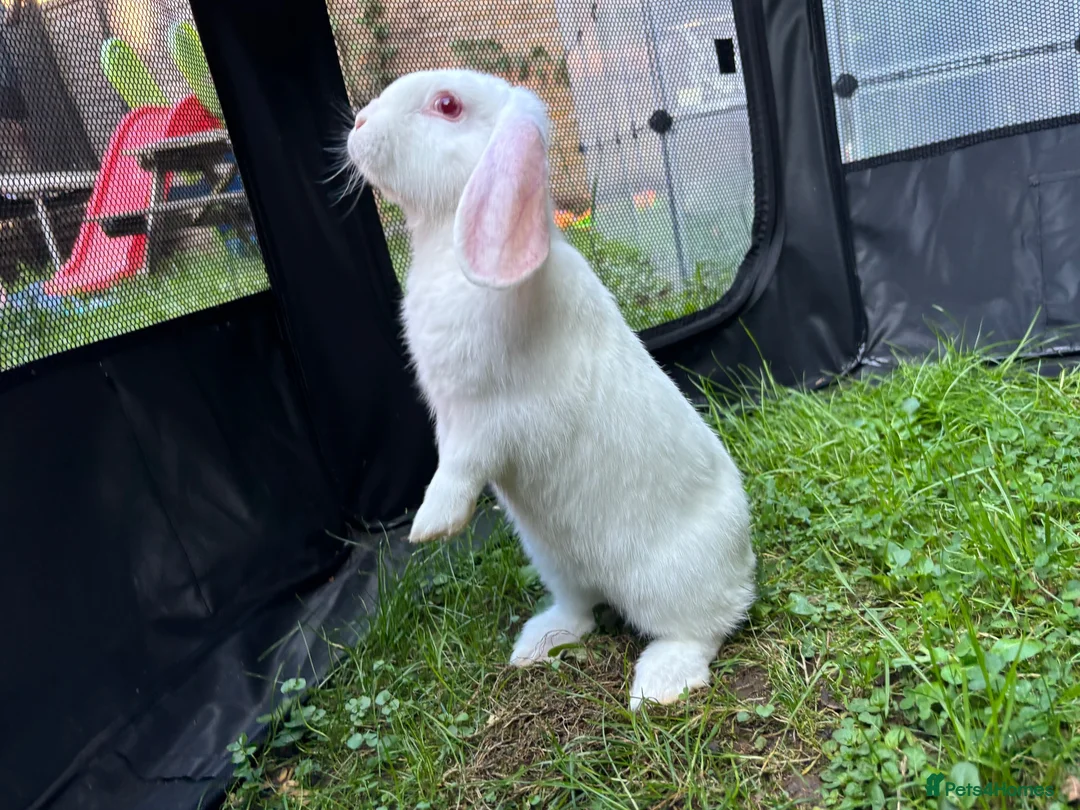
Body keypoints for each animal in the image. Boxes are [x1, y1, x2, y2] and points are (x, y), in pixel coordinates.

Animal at [344, 68, 757, 711]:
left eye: (447, 105)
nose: (359, 124)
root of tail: (744, 566)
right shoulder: (456, 418)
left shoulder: (490, 422)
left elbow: (459, 467)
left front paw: (430, 526)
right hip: (551, 558)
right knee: (581, 610)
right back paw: (537, 643)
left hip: (670, 583)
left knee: (702, 630)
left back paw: (658, 685)